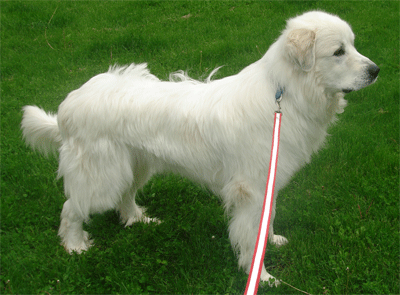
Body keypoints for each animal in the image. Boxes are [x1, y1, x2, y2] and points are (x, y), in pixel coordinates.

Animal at [21, 10, 378, 286]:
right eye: (338, 52)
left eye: (353, 45)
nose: (375, 71)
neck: (285, 94)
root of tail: (70, 104)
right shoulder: (250, 190)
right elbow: (251, 237)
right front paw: (261, 277)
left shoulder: (268, 182)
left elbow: (269, 217)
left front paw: (272, 240)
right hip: (101, 176)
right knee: (72, 209)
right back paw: (75, 246)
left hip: (135, 166)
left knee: (125, 197)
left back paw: (137, 219)